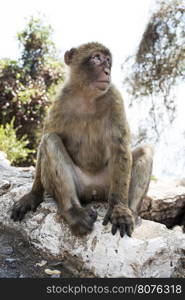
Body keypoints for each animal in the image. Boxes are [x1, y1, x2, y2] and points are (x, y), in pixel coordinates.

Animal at [10, 42, 154, 238]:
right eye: (96, 58)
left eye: (108, 60)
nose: (107, 71)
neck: (87, 95)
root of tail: (94, 191)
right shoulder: (59, 101)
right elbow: (45, 142)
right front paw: (33, 195)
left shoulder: (114, 97)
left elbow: (120, 149)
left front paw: (120, 210)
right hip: (81, 187)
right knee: (50, 140)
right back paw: (74, 211)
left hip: (107, 184)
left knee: (145, 151)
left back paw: (129, 210)